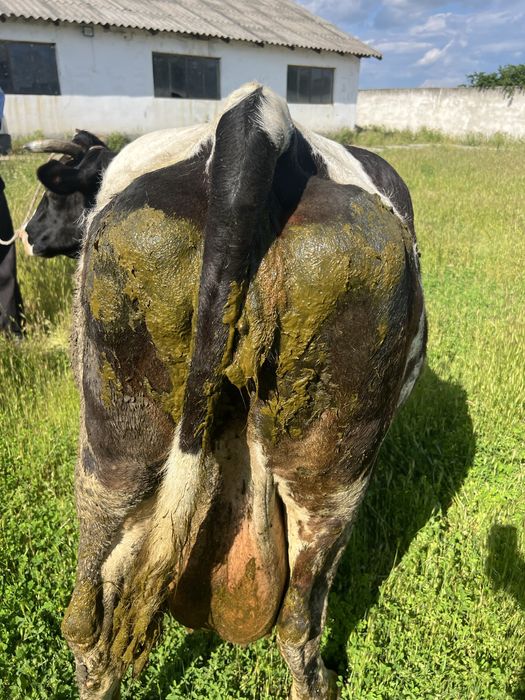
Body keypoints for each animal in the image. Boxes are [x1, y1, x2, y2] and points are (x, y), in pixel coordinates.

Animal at [63, 83, 426, 700]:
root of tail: (253, 119)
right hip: (338, 470)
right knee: (300, 620)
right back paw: (322, 681)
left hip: (114, 433)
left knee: (88, 618)